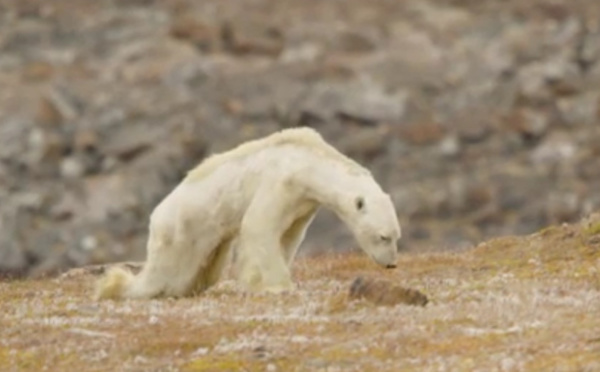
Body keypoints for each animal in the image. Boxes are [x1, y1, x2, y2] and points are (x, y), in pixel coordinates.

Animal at [94, 127, 400, 300]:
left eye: (397, 236)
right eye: (383, 237)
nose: (391, 265)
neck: (307, 161)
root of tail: (156, 217)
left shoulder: (303, 203)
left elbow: (288, 236)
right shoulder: (280, 181)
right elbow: (259, 226)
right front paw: (278, 286)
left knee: (203, 270)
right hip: (181, 231)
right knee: (165, 274)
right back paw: (116, 286)